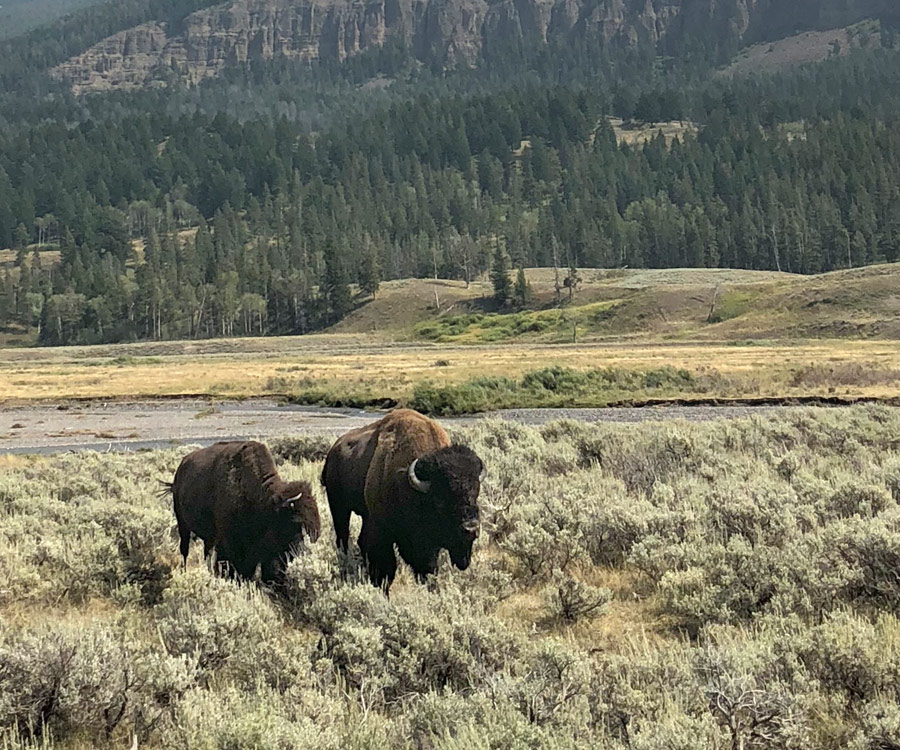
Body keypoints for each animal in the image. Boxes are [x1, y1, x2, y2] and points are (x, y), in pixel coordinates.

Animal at [167, 440, 320, 584]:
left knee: (207, 553)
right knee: (185, 549)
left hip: (207, 536)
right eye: (295, 519)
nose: (313, 538)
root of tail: (180, 470)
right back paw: (185, 571)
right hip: (182, 523)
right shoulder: (229, 544)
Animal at [322, 408, 484, 591]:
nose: (471, 528)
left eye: (476, 494)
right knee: (343, 539)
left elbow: (427, 568)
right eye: (440, 501)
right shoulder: (381, 530)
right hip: (338, 506)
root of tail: (333, 451)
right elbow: (386, 570)